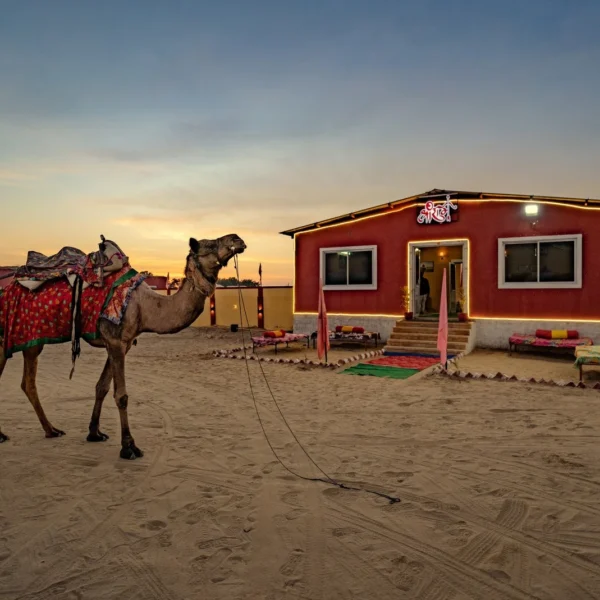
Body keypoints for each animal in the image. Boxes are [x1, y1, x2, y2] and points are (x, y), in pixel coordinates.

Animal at [0, 234, 246, 460]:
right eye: (210, 244)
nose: (238, 239)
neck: (146, 306)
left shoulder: (122, 343)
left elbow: (101, 387)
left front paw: (94, 433)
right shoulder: (115, 340)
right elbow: (121, 396)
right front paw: (129, 446)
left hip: (31, 339)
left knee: (28, 382)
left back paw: (50, 430)